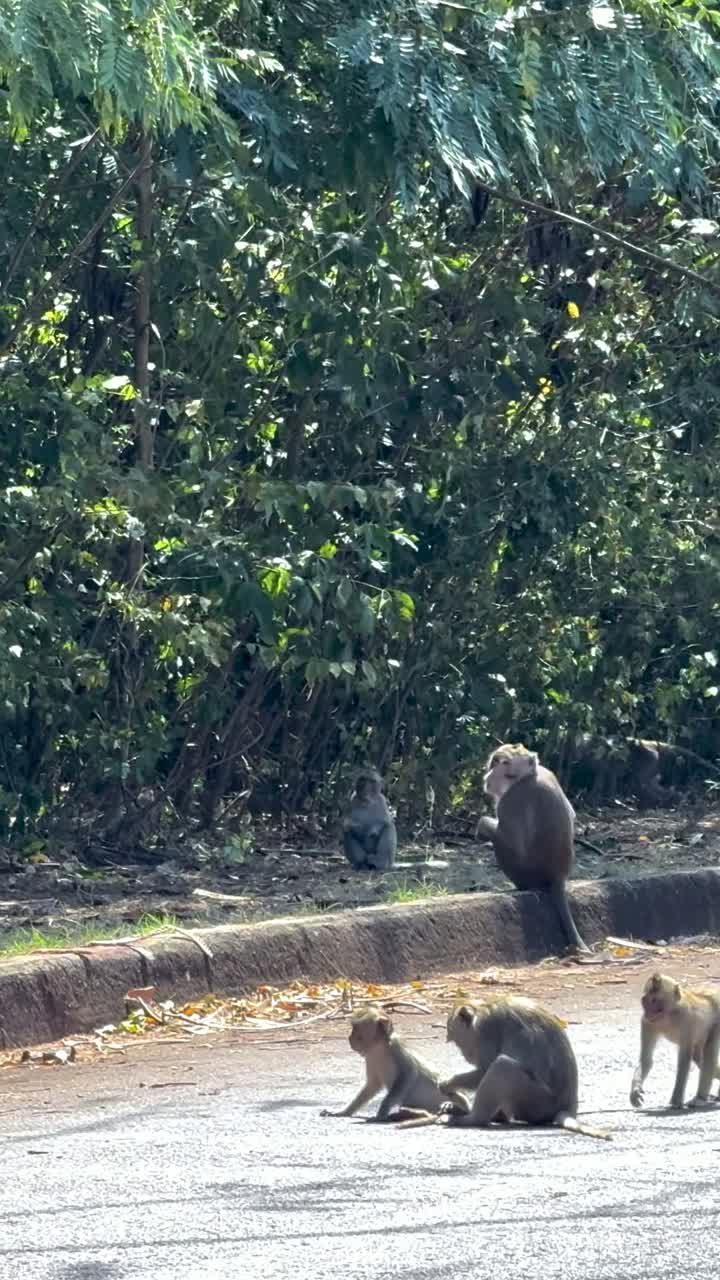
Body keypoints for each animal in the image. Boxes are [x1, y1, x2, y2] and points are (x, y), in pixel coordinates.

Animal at [320, 1005, 470, 1122]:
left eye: (356, 1028)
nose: (349, 1038)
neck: (379, 1048)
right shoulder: (370, 1058)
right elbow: (371, 1086)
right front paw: (343, 1112)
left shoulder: (397, 1050)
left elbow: (407, 1076)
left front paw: (380, 1114)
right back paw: (410, 1113)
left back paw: (456, 1108)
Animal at [401, 998, 609, 1138]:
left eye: (456, 1041)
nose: (465, 1055)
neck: (483, 1006)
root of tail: (568, 1105)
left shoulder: (485, 1030)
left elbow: (484, 1070)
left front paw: (448, 1083)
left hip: (537, 1102)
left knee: (502, 1067)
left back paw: (472, 1118)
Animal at [475, 743, 589, 953]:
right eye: (495, 762)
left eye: (501, 762)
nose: (489, 774)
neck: (529, 774)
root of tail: (558, 876)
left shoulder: (512, 799)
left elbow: (509, 841)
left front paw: (482, 827)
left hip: (522, 873)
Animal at [630, 972, 720, 1110]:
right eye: (645, 1000)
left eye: (654, 1000)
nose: (648, 1012)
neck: (668, 1014)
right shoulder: (647, 1023)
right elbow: (646, 1060)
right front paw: (635, 1091)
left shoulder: (687, 1019)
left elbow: (684, 1061)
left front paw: (676, 1101)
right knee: (699, 1058)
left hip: (716, 1022)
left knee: (708, 1054)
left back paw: (700, 1098)